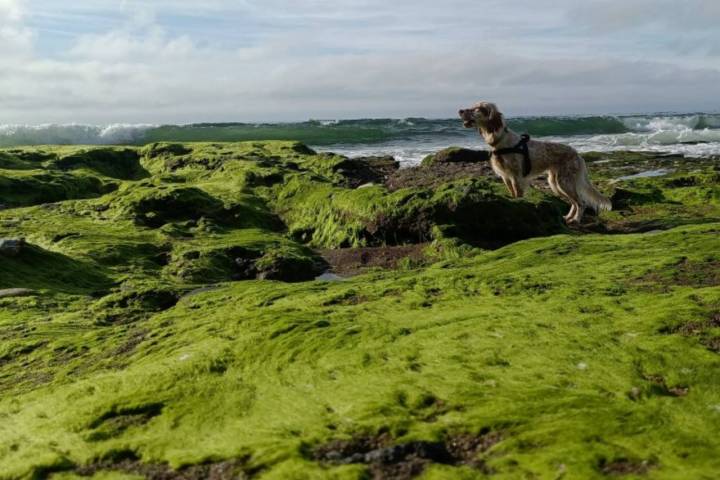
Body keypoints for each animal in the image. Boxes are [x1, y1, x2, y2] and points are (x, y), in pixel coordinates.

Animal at [458, 101, 612, 223]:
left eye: (478, 108)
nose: (460, 110)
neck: (499, 140)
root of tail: (577, 154)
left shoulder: (516, 177)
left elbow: (518, 194)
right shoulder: (505, 176)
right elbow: (512, 193)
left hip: (564, 182)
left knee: (581, 203)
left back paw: (576, 220)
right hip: (555, 183)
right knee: (574, 203)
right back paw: (568, 217)